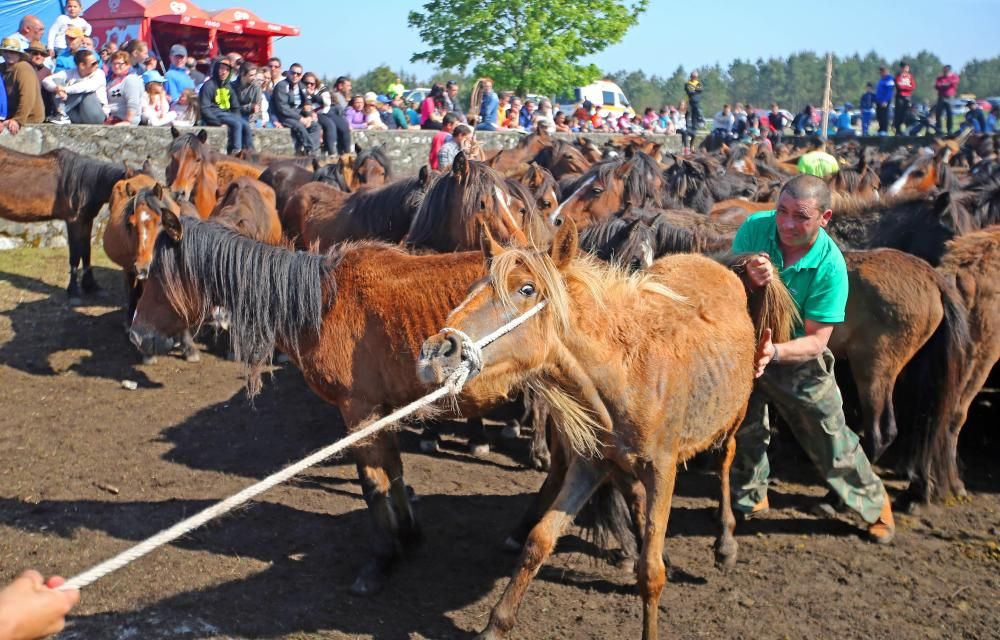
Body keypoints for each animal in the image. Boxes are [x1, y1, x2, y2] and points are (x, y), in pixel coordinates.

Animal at [0, 146, 131, 304]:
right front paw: (73, 291)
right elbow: (75, 256)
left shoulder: (86, 220)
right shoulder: (74, 221)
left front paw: (91, 286)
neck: (85, 183)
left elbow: (86, 253)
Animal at [416, 220, 796, 640]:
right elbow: (540, 540)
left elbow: (652, 573)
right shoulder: (590, 464)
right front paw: (497, 624)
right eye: (472, 287)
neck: (626, 373)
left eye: (526, 289)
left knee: (726, 463)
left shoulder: (663, 471)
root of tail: (720, 265)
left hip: (732, 418)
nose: (435, 352)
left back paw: (725, 542)